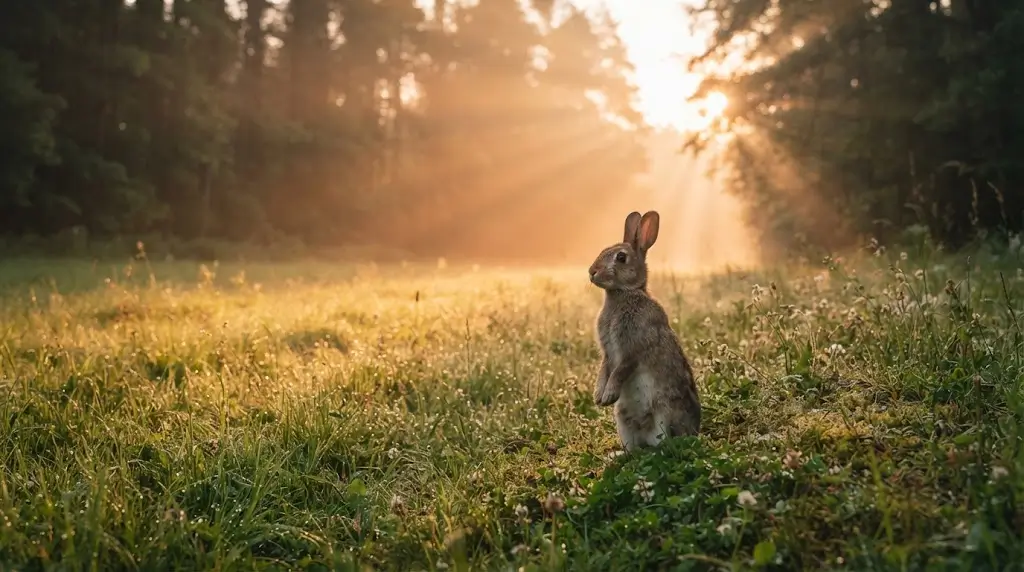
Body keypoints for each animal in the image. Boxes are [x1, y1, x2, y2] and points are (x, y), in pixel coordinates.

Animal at [588, 210, 701, 452]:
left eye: (621, 258)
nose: (592, 272)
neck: (624, 293)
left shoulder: (634, 347)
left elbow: (620, 370)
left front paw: (608, 395)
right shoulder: (608, 352)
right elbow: (604, 369)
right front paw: (598, 396)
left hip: (664, 413)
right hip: (622, 421)